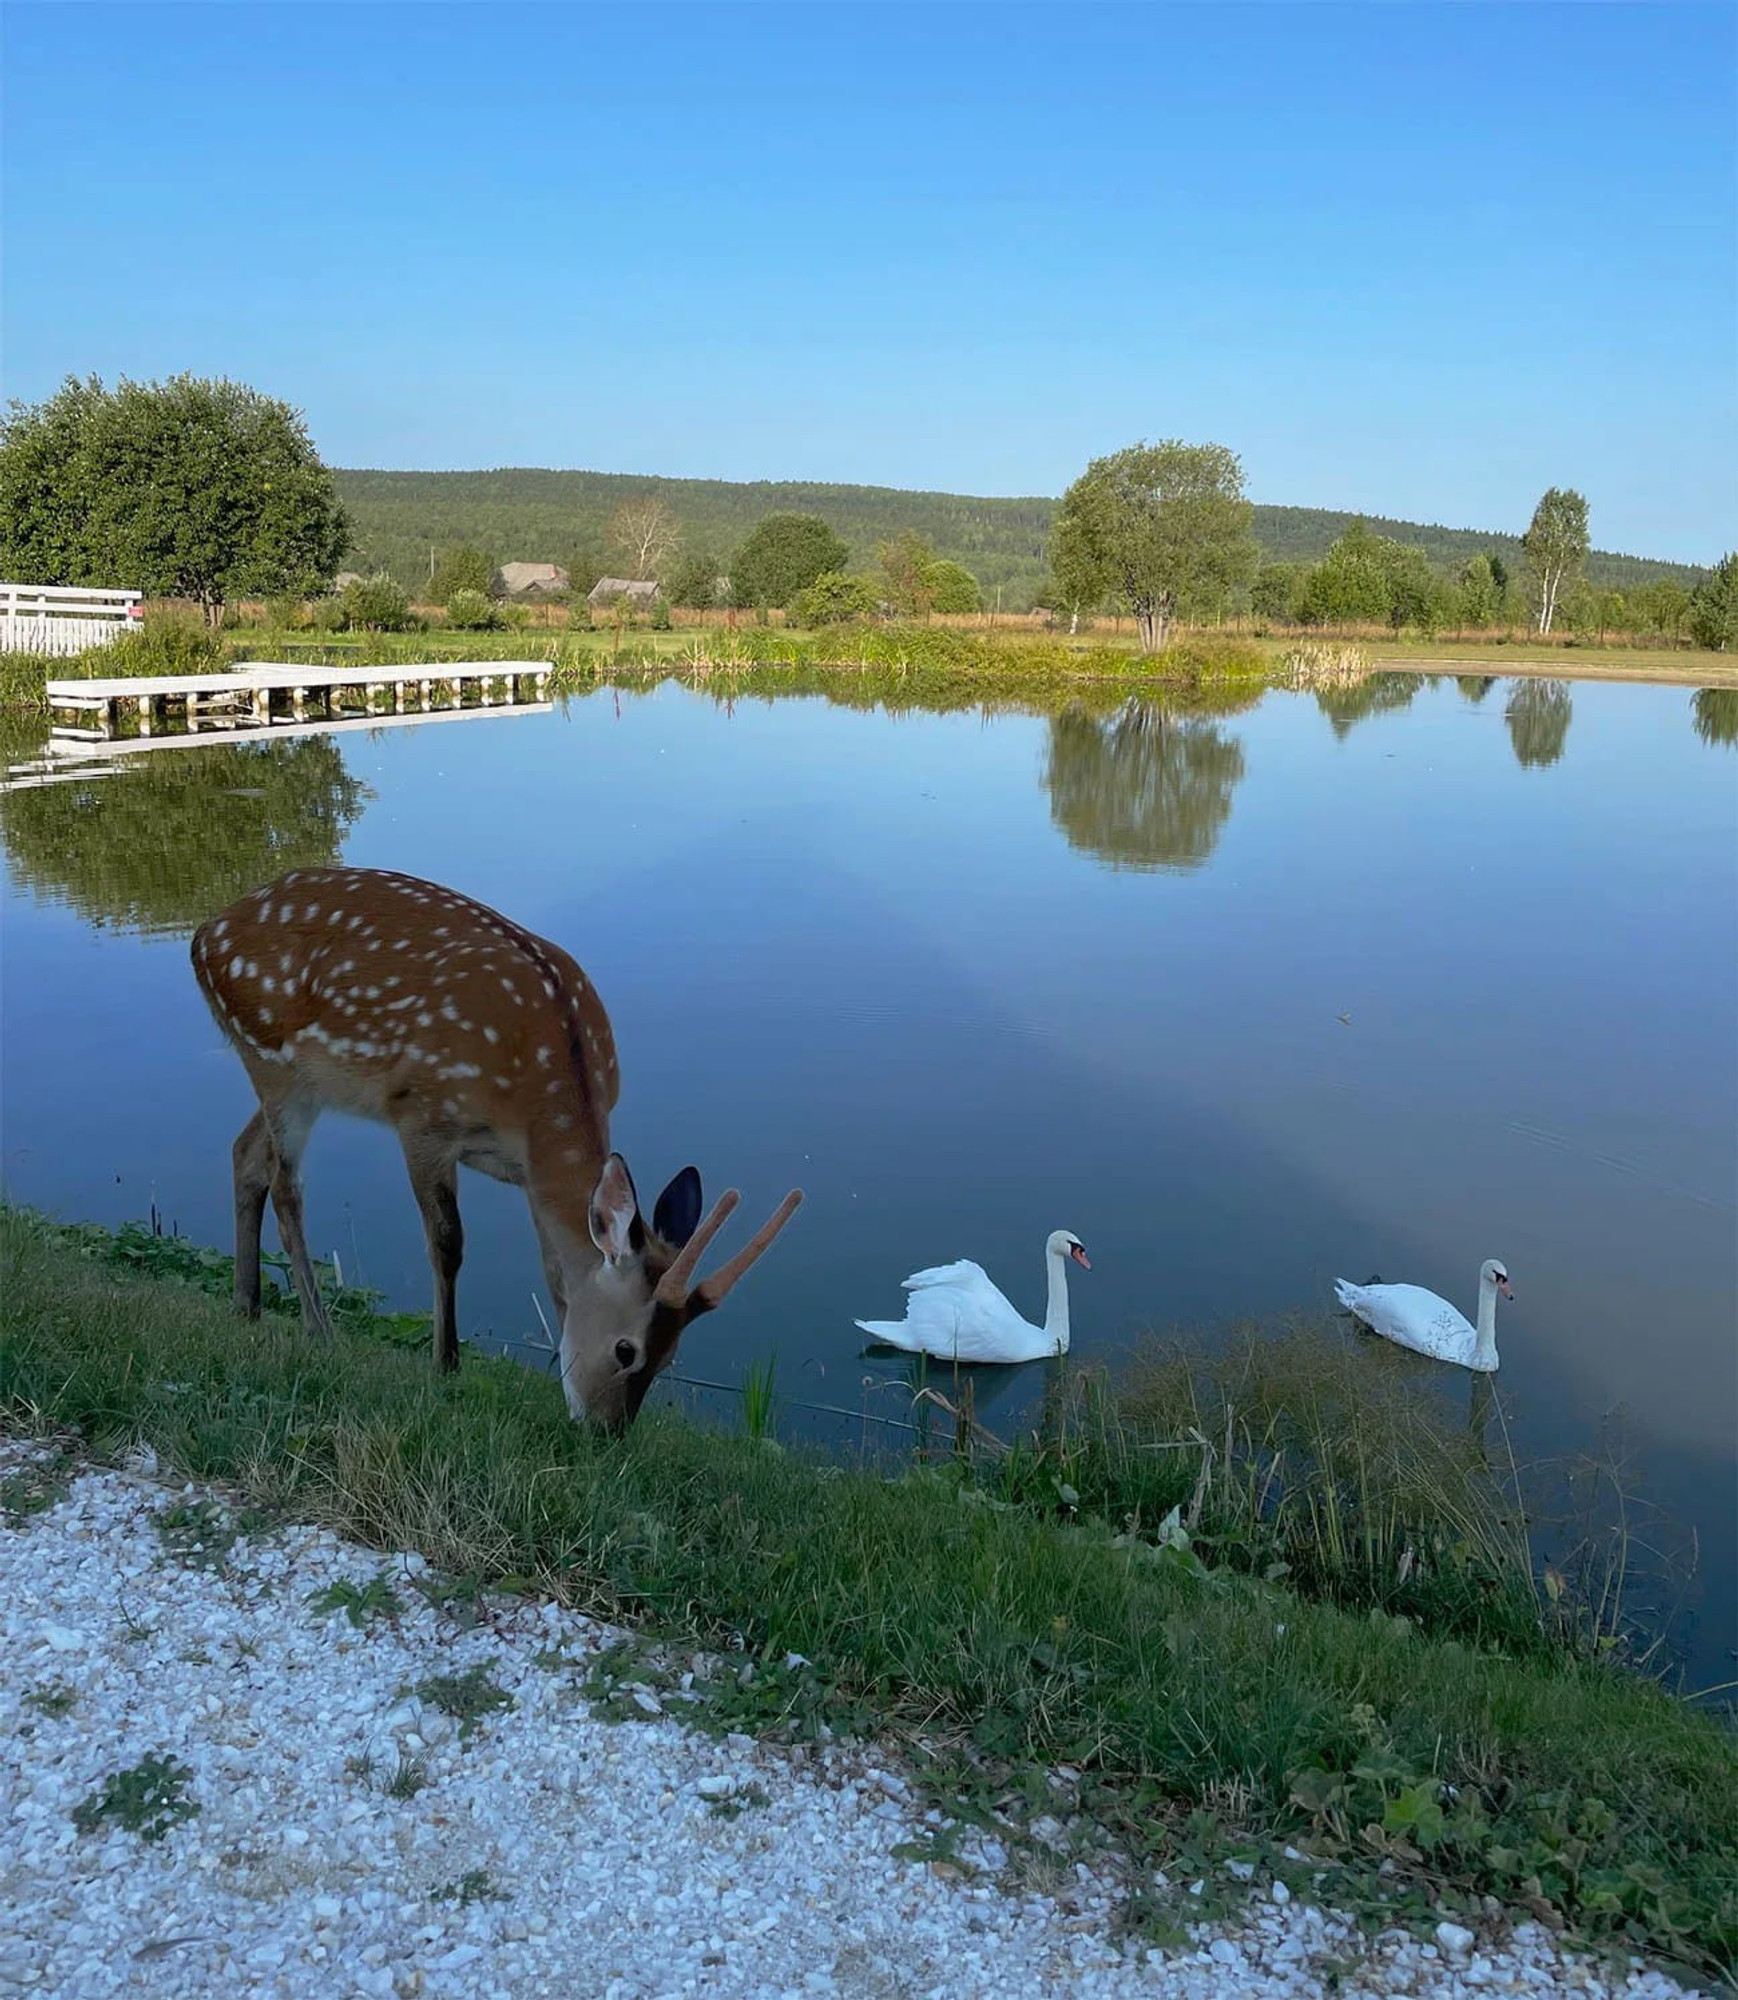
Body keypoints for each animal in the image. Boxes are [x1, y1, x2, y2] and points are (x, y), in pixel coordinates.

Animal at [193, 868, 804, 1432]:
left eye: (672, 1356)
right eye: (625, 1349)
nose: (606, 1432)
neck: (530, 1101)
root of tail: (204, 936)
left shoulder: (530, 1175)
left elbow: (555, 1270)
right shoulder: (422, 1116)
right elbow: (448, 1243)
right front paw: (446, 1365)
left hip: (301, 1081)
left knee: (245, 1152)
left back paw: (246, 1306)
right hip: (272, 1058)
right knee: (286, 1183)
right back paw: (319, 1329)